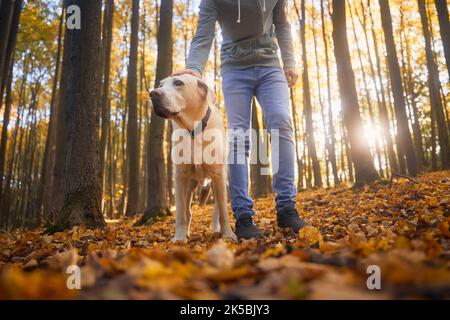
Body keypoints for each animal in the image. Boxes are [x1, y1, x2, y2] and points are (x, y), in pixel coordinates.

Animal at [149, 73, 237, 242]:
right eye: (161, 84)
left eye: (178, 83)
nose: (153, 93)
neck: (193, 130)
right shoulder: (180, 176)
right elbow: (181, 213)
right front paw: (179, 237)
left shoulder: (218, 175)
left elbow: (223, 211)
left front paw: (228, 235)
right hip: (190, 184)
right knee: (187, 210)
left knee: (217, 208)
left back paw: (216, 228)